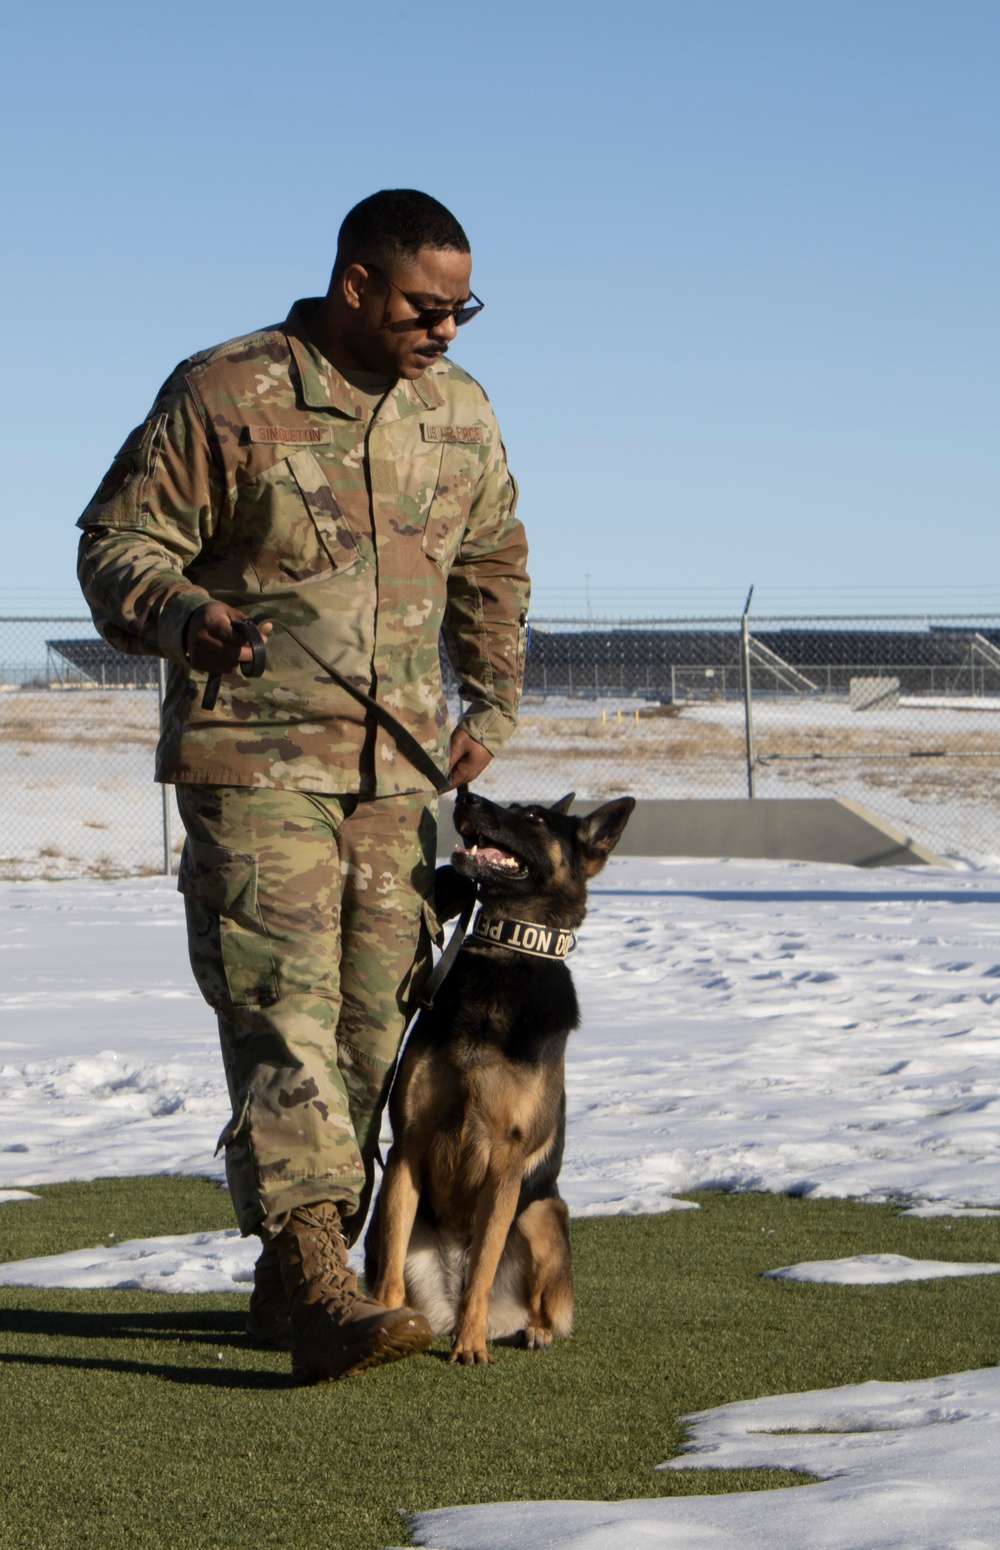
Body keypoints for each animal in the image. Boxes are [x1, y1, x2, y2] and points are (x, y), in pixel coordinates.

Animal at [364, 793, 632, 1364]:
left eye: (533, 818)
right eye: (511, 804)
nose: (465, 797)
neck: (506, 954)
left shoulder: (506, 1164)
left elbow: (484, 1267)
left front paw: (468, 1346)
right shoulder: (408, 1146)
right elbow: (392, 1262)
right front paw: (384, 1321)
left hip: (544, 1212)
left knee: (539, 1302)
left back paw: (527, 1330)